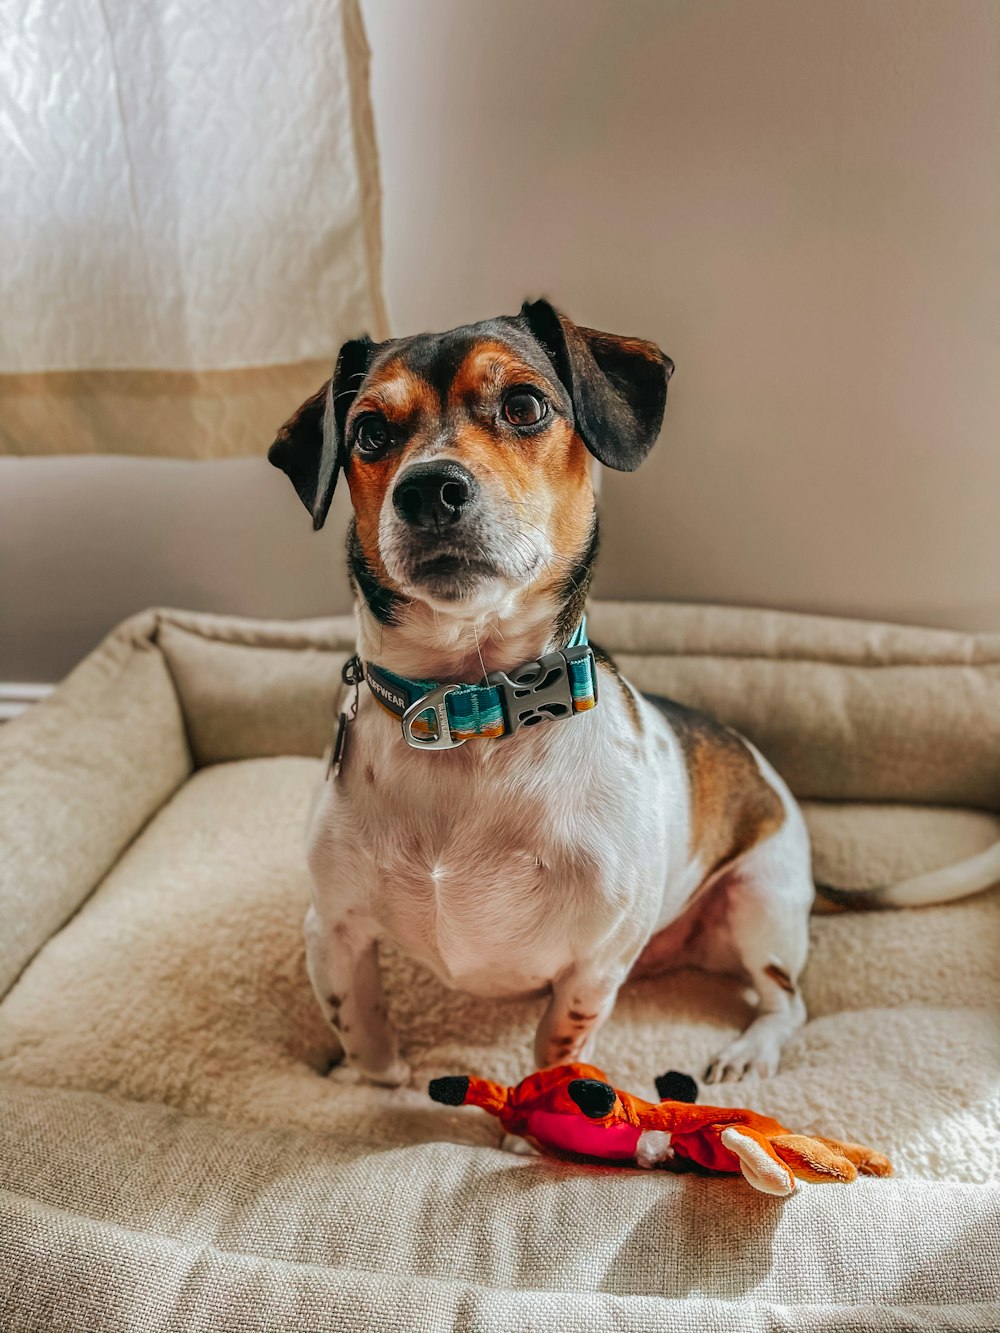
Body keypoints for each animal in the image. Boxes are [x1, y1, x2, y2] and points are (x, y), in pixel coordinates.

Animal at [270, 302, 992, 1103]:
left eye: (524, 405)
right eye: (370, 430)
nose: (427, 490)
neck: (470, 711)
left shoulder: (596, 962)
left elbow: (557, 1041)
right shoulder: (332, 930)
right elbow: (361, 1025)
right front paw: (373, 1079)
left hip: (759, 903)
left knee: (787, 999)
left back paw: (751, 1050)